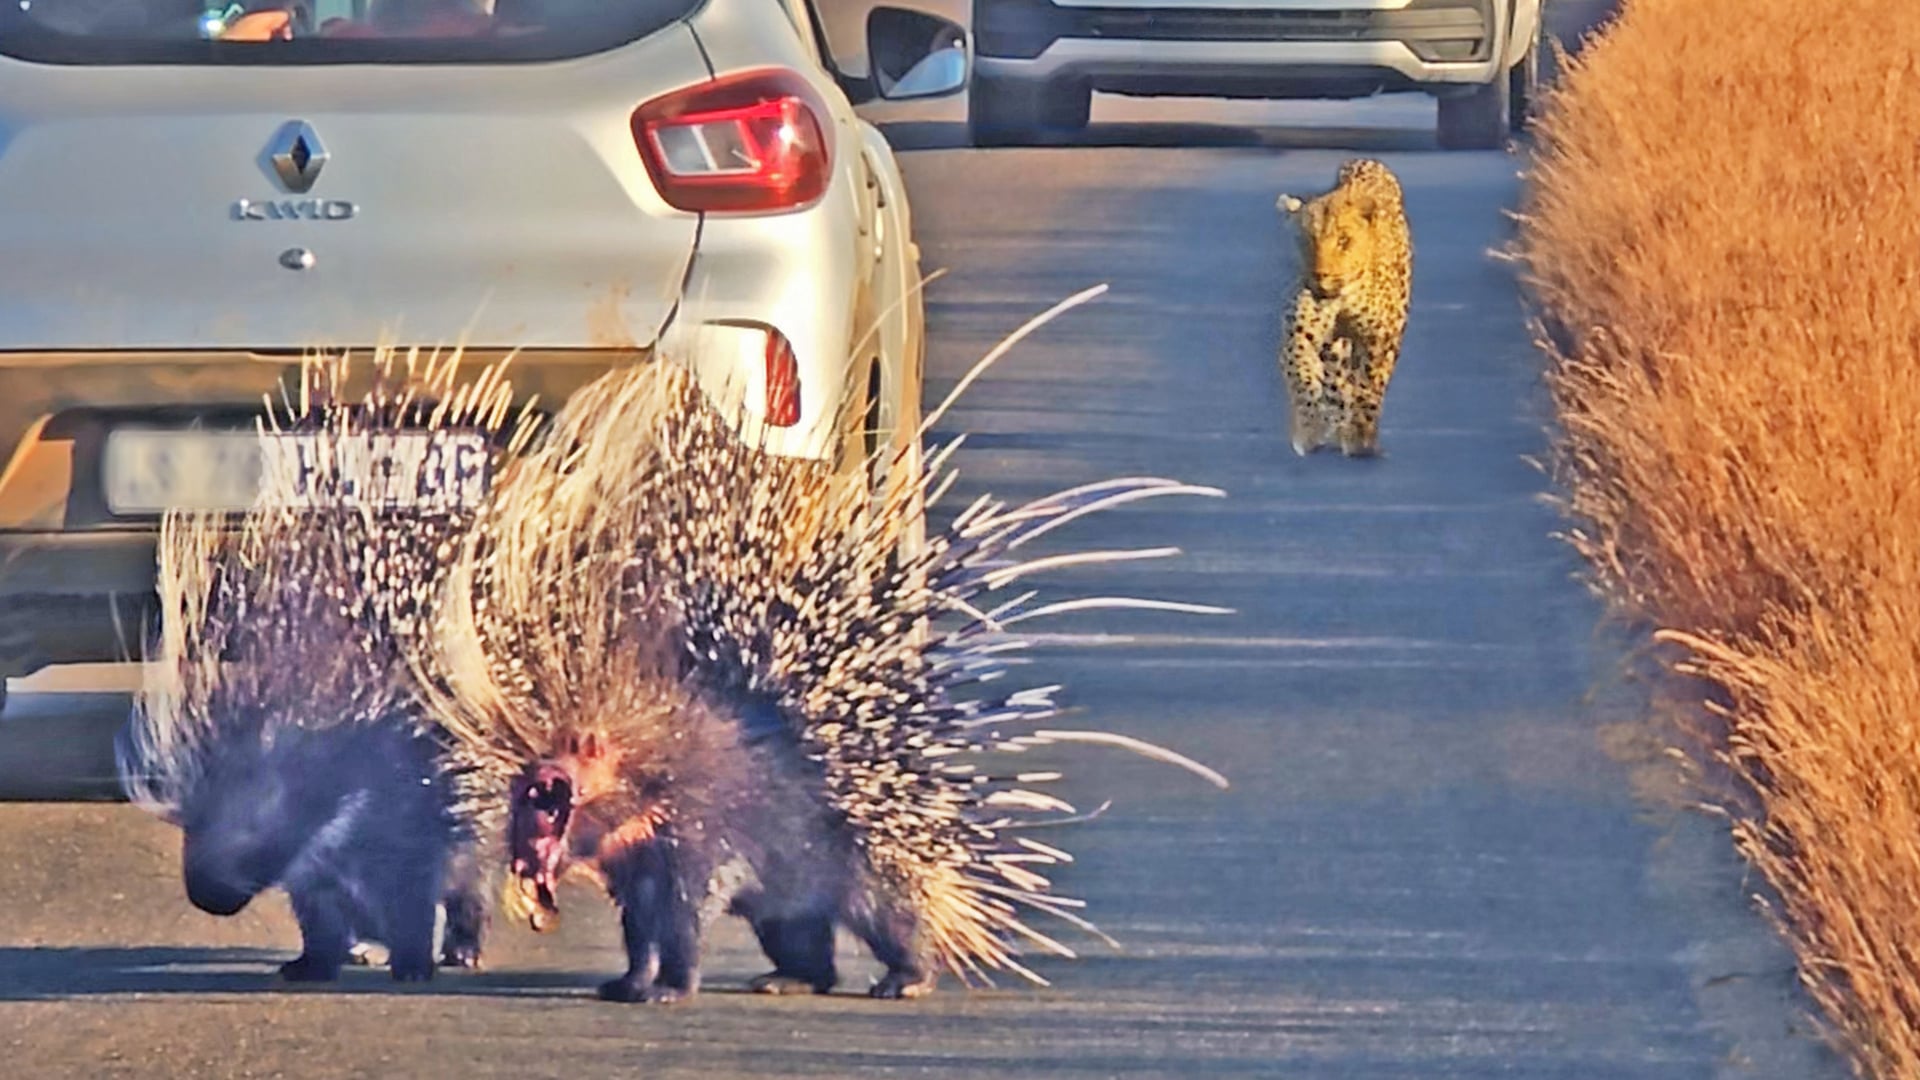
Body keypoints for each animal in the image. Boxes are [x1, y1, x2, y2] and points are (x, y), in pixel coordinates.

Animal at [1275, 157, 1413, 457]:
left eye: (1343, 241)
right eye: (1306, 239)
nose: (1320, 275)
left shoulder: (1379, 338)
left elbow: (1366, 385)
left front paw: (1359, 435)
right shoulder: (1298, 334)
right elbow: (1302, 375)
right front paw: (1309, 429)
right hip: (1335, 348)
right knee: (1335, 382)